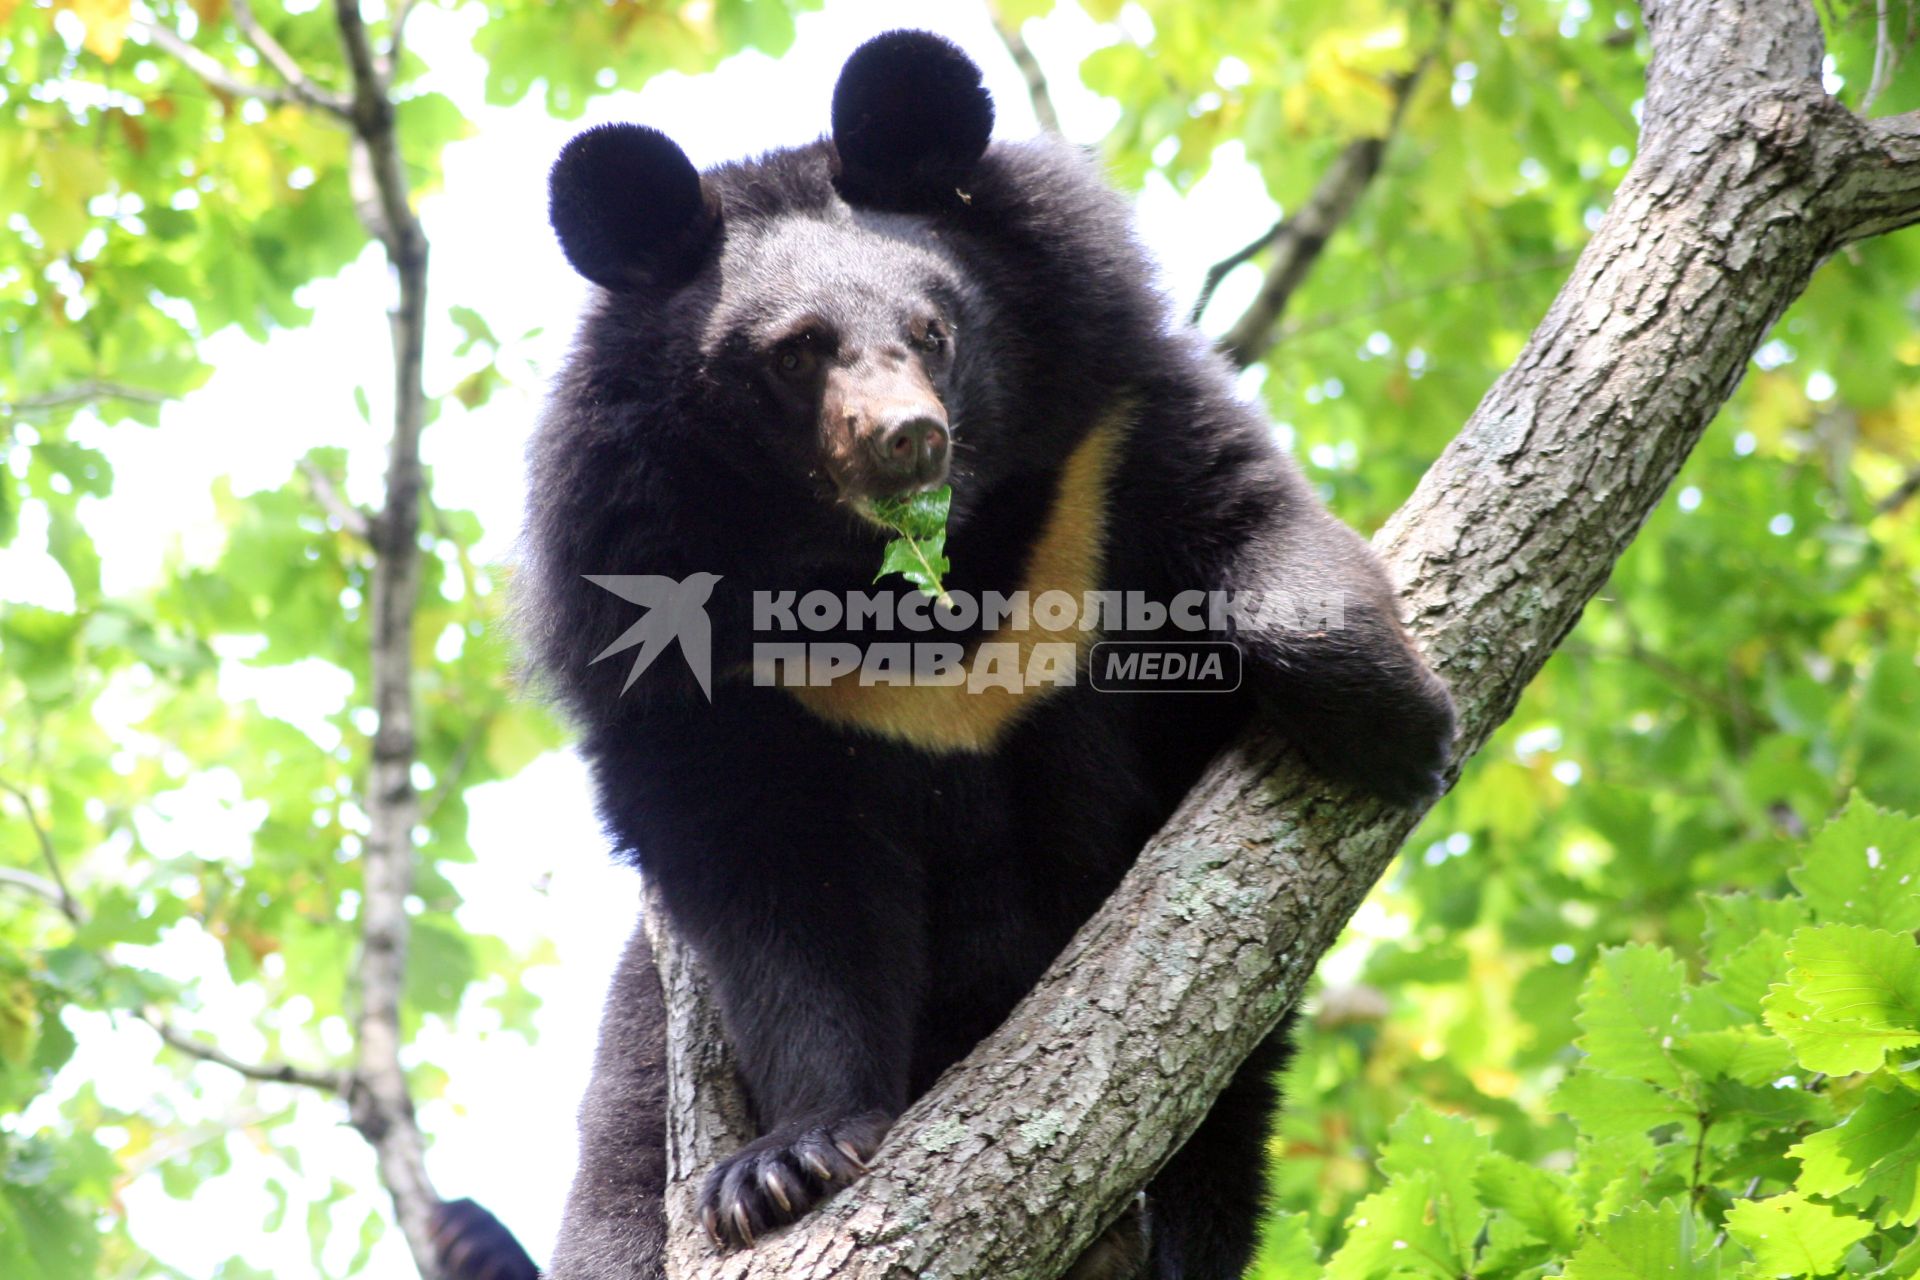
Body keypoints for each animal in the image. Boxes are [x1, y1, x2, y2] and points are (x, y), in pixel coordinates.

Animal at [476, 27, 1443, 1280]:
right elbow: (783, 895)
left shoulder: (1097, 452)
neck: (893, 586)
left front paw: (1399, 728)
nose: (908, 438)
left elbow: (1242, 515)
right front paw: (787, 1162)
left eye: (932, 328)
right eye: (794, 354)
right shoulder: (701, 659)